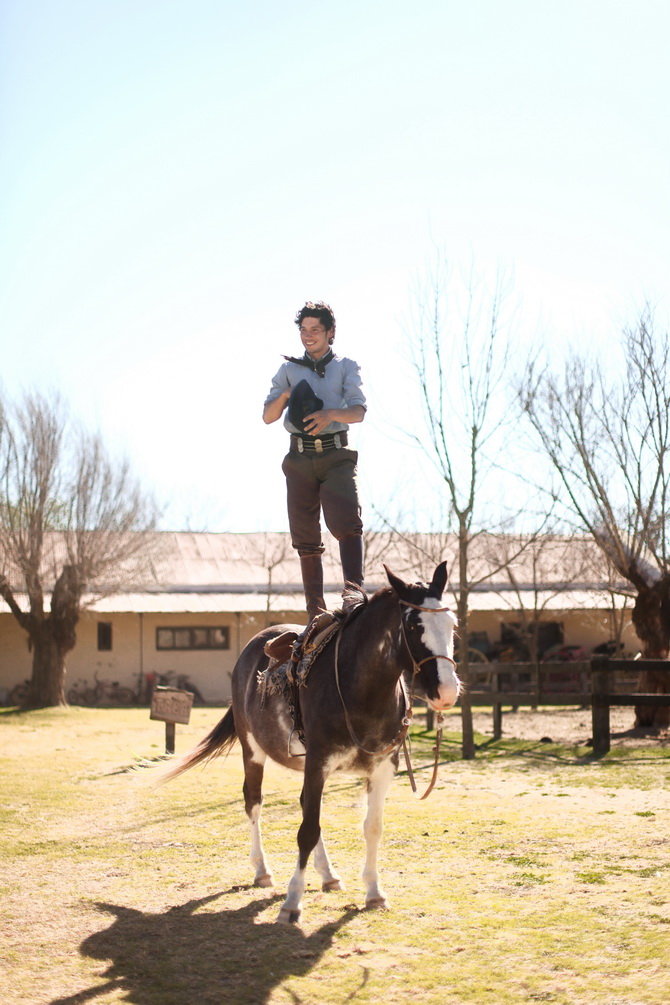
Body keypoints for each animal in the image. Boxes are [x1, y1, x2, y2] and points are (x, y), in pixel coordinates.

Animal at [163, 562, 462, 920]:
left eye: (452, 623)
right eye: (414, 625)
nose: (446, 692)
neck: (361, 692)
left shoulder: (381, 769)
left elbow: (371, 827)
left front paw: (374, 892)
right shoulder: (318, 762)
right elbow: (307, 830)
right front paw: (292, 901)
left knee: (306, 805)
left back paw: (328, 874)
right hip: (253, 750)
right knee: (254, 801)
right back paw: (262, 871)